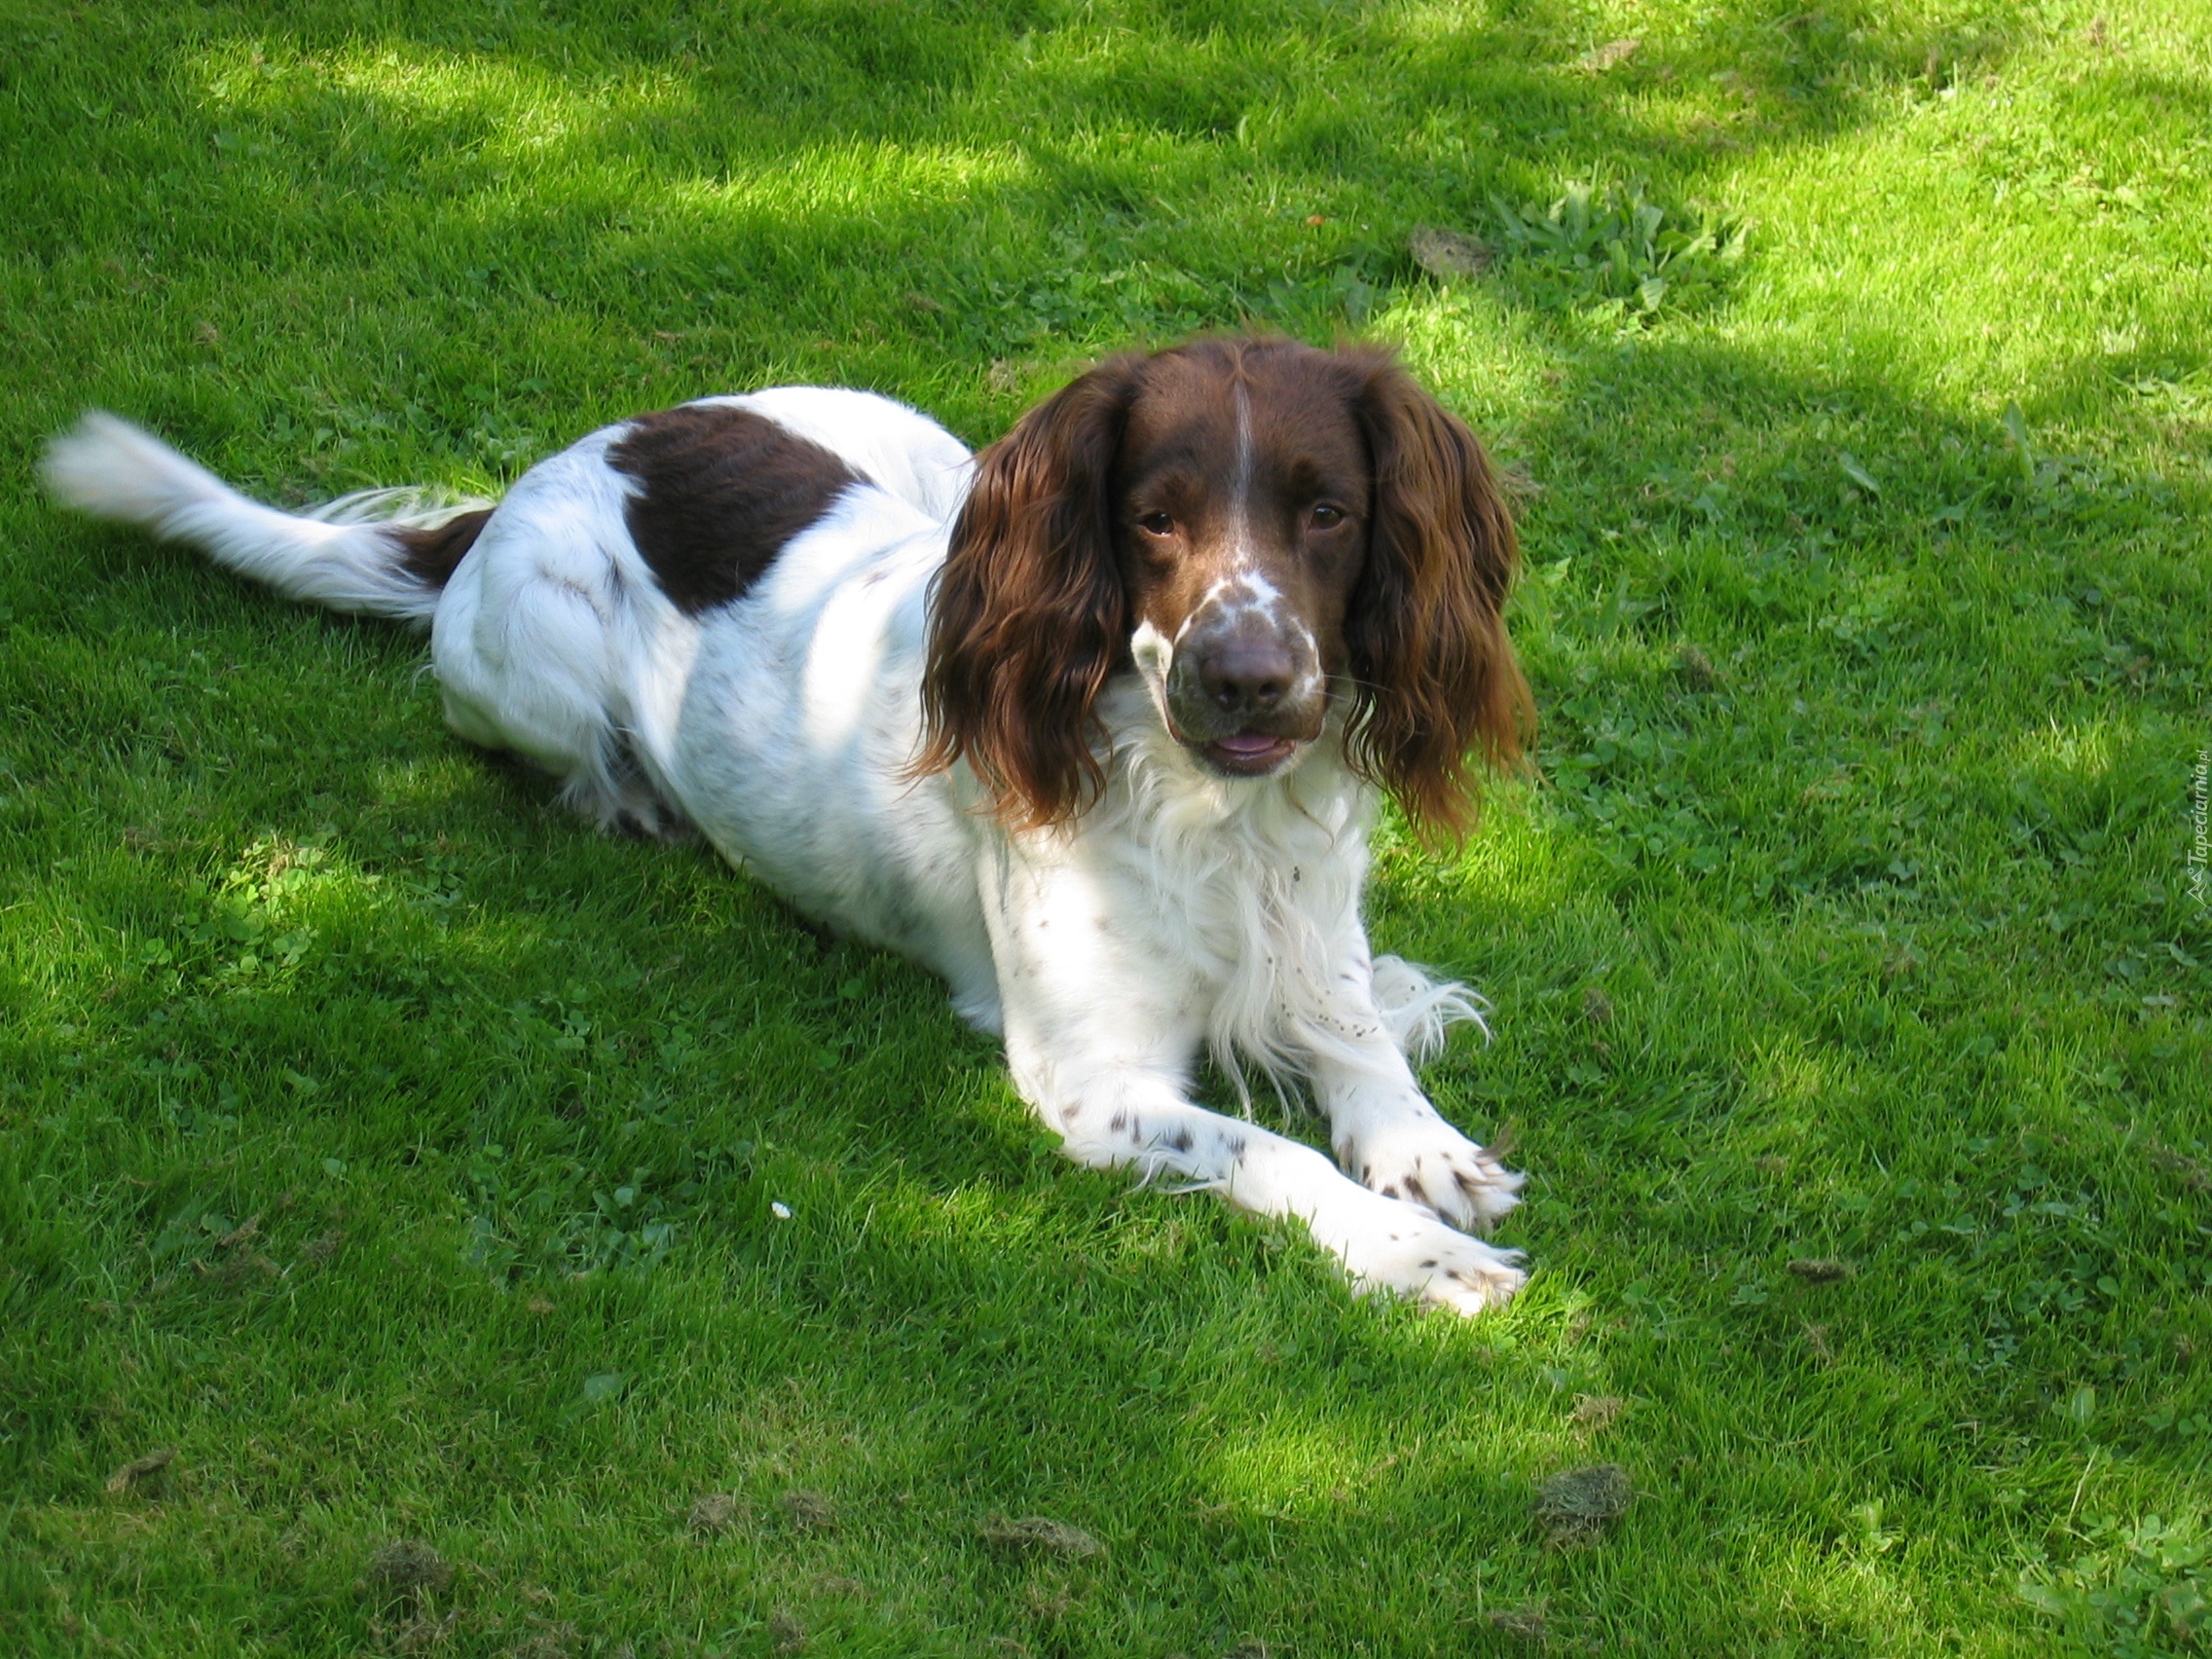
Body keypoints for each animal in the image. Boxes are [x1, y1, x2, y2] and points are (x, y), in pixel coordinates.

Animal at [47, 340, 1539, 1327]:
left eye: (1328, 512)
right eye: (1153, 518)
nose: (1249, 680)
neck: (1211, 815)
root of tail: (539, 478)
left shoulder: (1310, 923)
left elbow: (1358, 1047)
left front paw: (1425, 1151)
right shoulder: (1089, 1080)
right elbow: (1265, 1148)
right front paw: (1411, 1254)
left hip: (922, 448)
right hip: (529, 662)